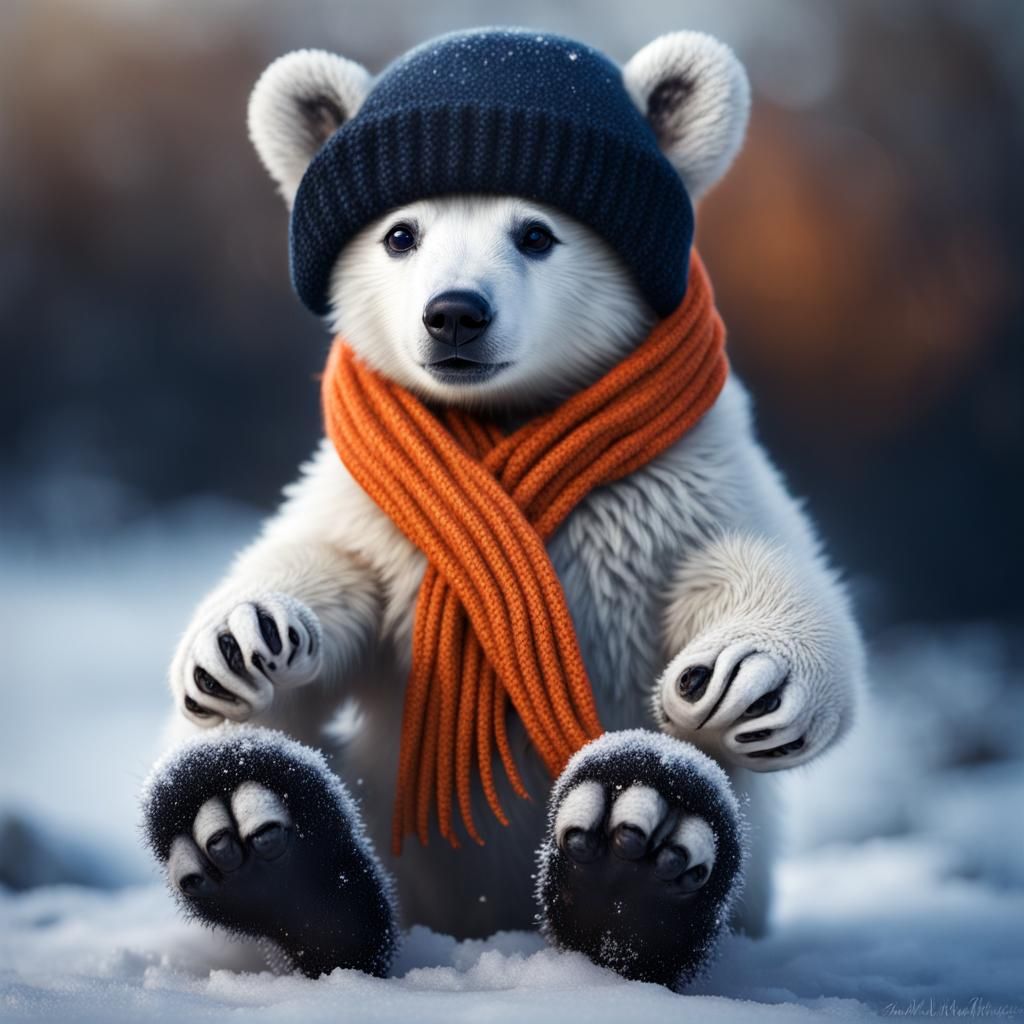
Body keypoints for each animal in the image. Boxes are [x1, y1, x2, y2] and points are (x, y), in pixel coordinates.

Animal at [142, 27, 864, 991]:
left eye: (536, 232)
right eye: (400, 233)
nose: (455, 313)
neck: (502, 429)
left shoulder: (677, 490)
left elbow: (762, 566)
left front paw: (746, 678)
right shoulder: (379, 518)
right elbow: (323, 572)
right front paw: (242, 639)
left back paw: (640, 842)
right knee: (254, 753)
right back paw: (248, 831)